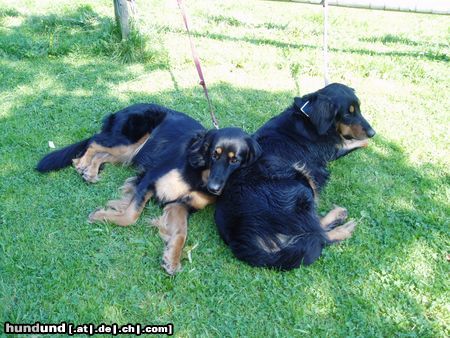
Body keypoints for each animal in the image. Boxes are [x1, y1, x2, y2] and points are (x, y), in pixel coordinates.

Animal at [37, 104, 262, 274]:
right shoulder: (150, 179)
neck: (201, 174)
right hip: (128, 141)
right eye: (214, 154)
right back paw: (83, 163)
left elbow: (181, 233)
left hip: (130, 151)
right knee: (93, 143)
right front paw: (102, 216)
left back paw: (90, 170)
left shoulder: (181, 205)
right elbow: (131, 215)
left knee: (102, 154)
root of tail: (126, 107)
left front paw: (172, 258)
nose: (214, 189)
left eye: (235, 160)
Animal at [214, 83, 376, 270]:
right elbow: (353, 142)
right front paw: (367, 141)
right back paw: (343, 225)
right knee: (318, 235)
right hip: (300, 183)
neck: (309, 116)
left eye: (359, 109)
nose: (372, 132)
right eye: (348, 113)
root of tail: (239, 236)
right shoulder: (334, 150)